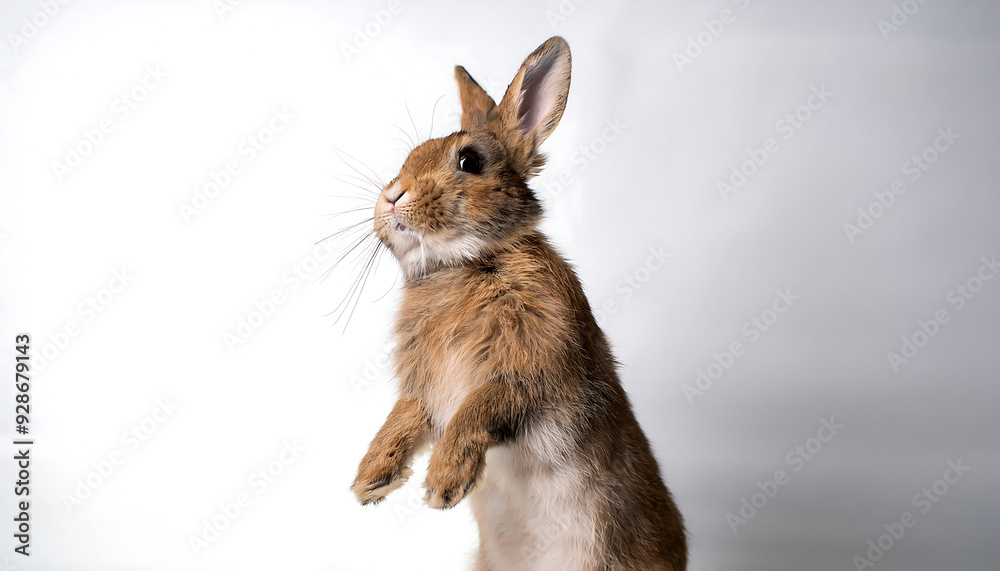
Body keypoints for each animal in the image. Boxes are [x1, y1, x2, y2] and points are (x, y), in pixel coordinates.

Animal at [350, 36, 688, 571]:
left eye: (469, 161)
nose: (391, 196)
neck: (465, 264)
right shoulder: (425, 388)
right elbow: (404, 416)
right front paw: (370, 479)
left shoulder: (533, 369)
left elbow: (480, 407)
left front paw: (443, 482)